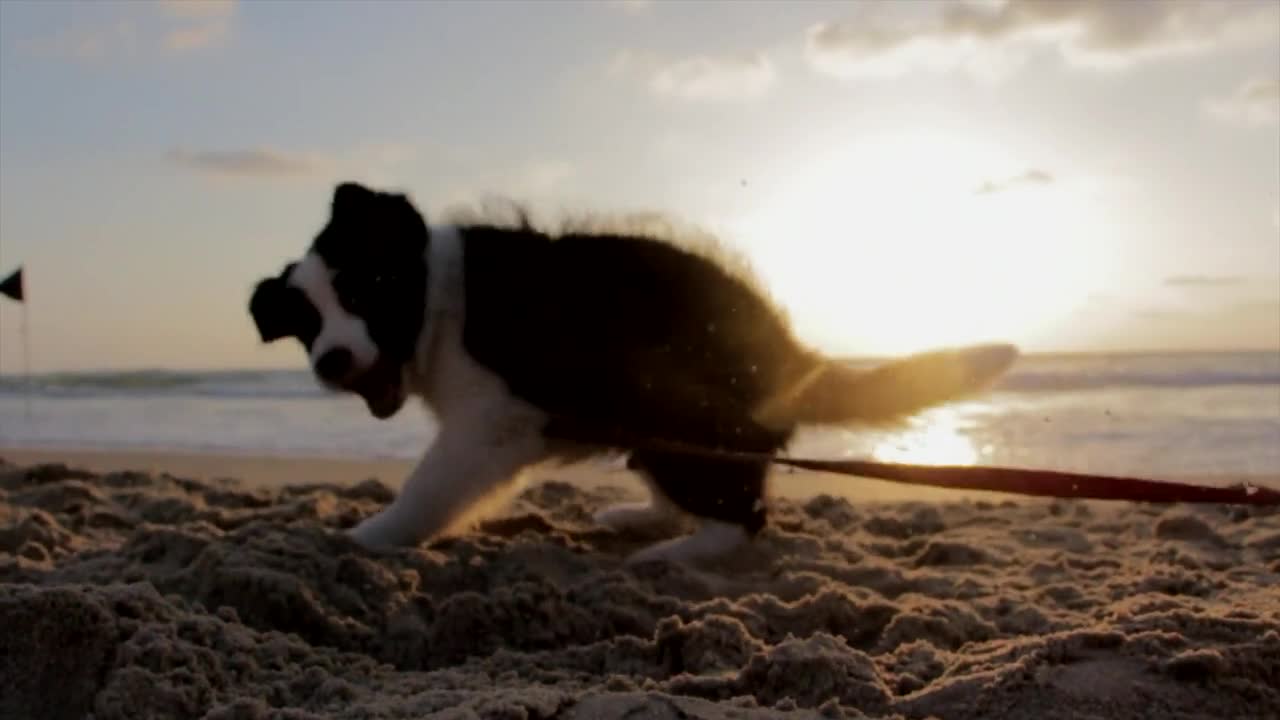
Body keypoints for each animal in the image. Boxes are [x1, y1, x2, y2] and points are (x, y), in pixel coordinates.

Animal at [249, 181, 1018, 563]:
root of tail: (789, 352)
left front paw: (364, 539)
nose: (332, 360)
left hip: (677, 411)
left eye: (365, 290)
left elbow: (424, 491)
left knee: (745, 513)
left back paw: (678, 552)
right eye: (306, 324)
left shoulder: (490, 423)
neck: (437, 302)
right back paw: (643, 519)